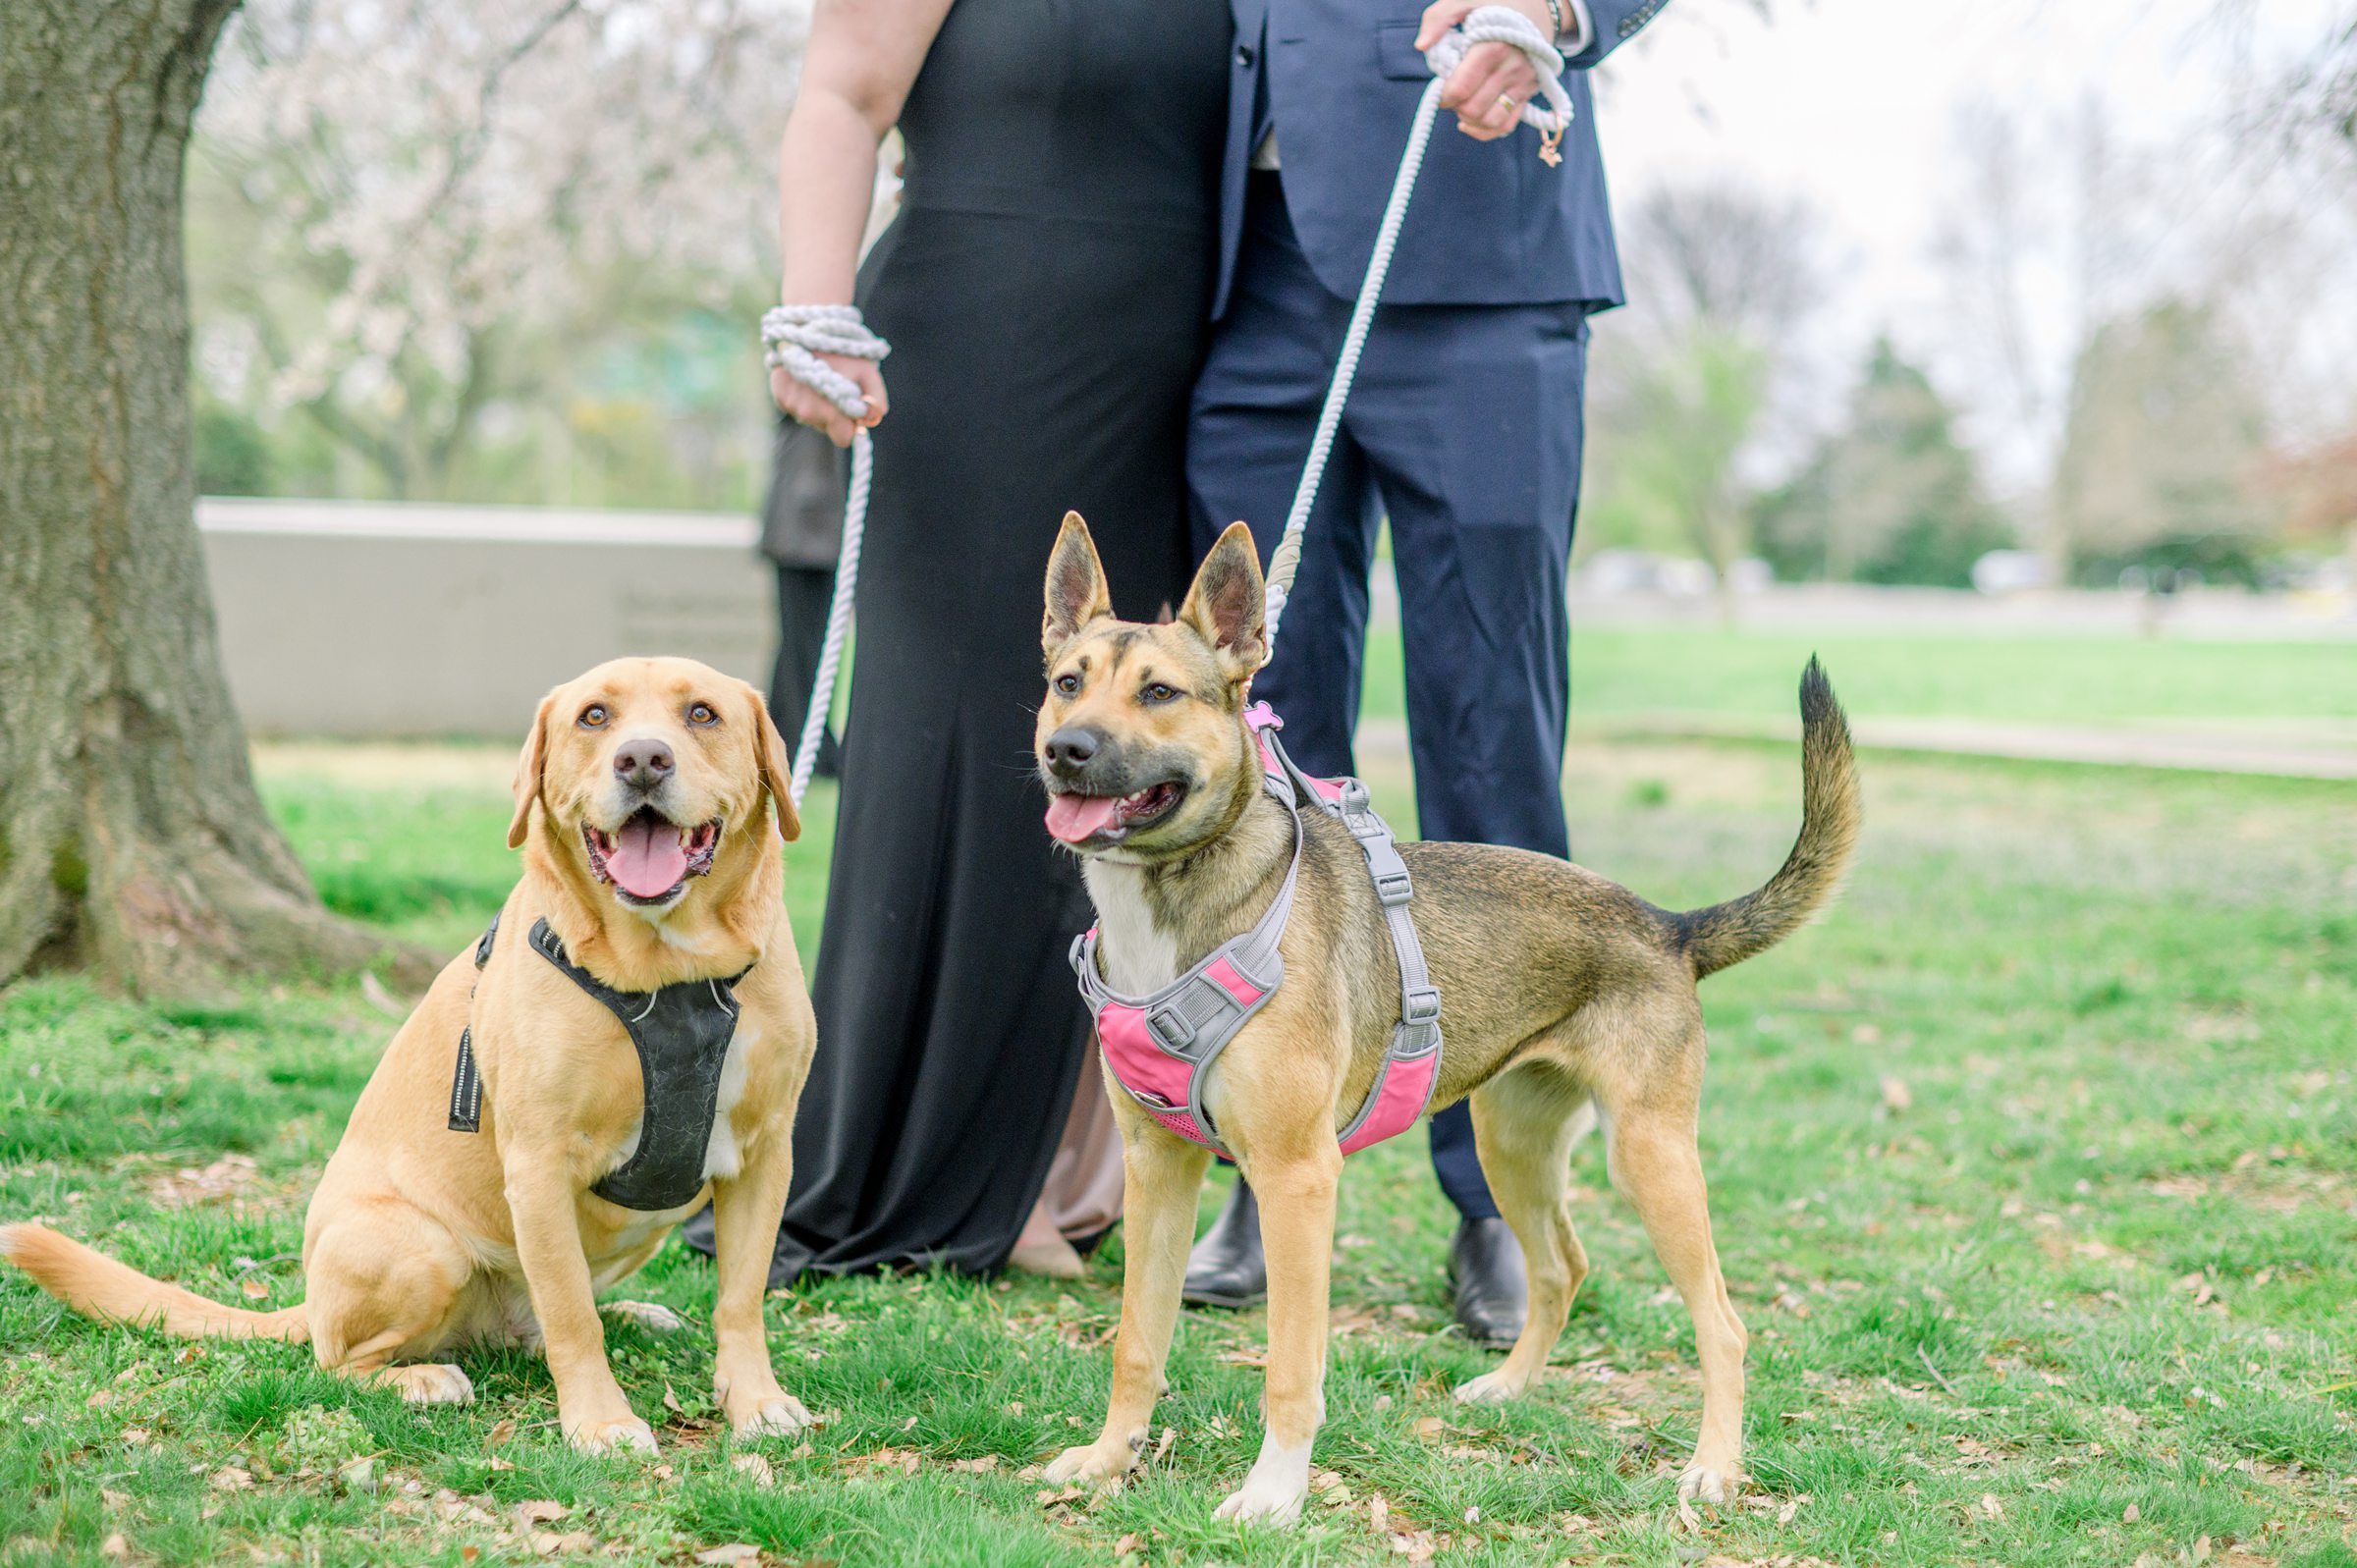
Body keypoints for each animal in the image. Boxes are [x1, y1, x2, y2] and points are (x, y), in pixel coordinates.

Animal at [4, 655, 820, 1452]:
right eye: (595, 715)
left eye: (701, 713)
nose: (643, 759)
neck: (670, 974)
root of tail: (309, 1299)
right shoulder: (540, 1163)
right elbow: (571, 1318)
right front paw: (600, 1421)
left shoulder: (766, 1153)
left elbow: (739, 1301)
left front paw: (755, 1401)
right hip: (424, 1246)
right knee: (344, 1359)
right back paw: (421, 1378)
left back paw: (637, 1314)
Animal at [1032, 518, 1857, 1518]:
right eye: (1067, 682)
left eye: (1158, 692)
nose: (1068, 749)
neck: (1183, 901)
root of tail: (1668, 927)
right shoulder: (1157, 1167)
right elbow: (1136, 1340)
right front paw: (1109, 1457)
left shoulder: (1298, 1180)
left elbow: (1291, 1366)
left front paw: (1273, 1496)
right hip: (1514, 1146)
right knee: (1561, 1269)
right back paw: (1508, 1387)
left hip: (1648, 1158)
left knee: (1724, 1323)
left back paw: (1714, 1465)